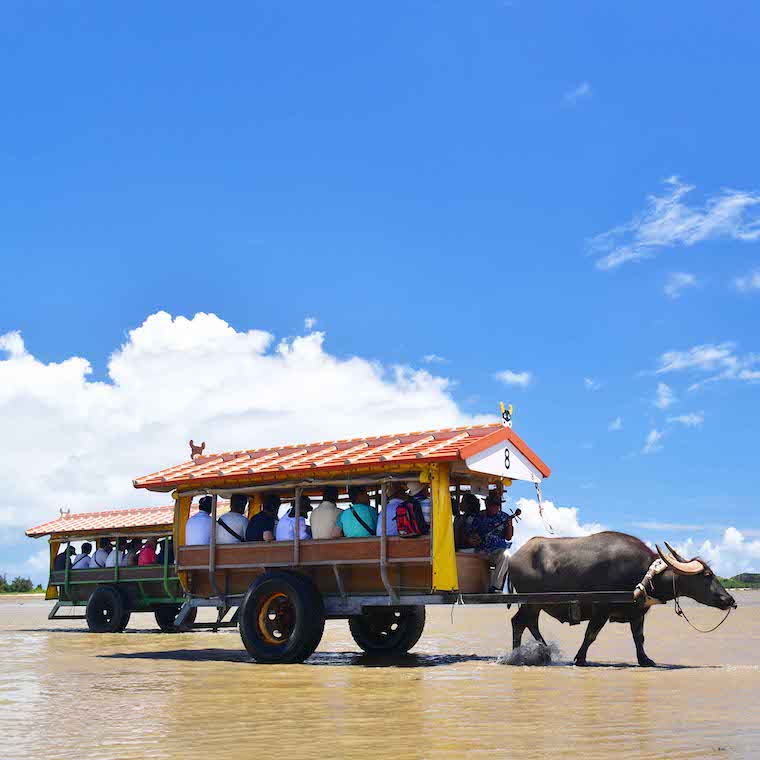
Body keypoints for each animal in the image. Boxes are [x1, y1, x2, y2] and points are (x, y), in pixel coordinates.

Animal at [508, 528, 732, 664]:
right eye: (707, 575)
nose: (729, 600)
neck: (643, 574)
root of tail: (515, 557)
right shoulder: (602, 609)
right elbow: (590, 635)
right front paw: (580, 658)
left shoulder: (638, 612)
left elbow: (639, 637)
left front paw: (645, 660)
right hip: (531, 601)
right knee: (520, 622)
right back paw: (522, 655)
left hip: (535, 603)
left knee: (527, 623)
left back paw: (541, 652)